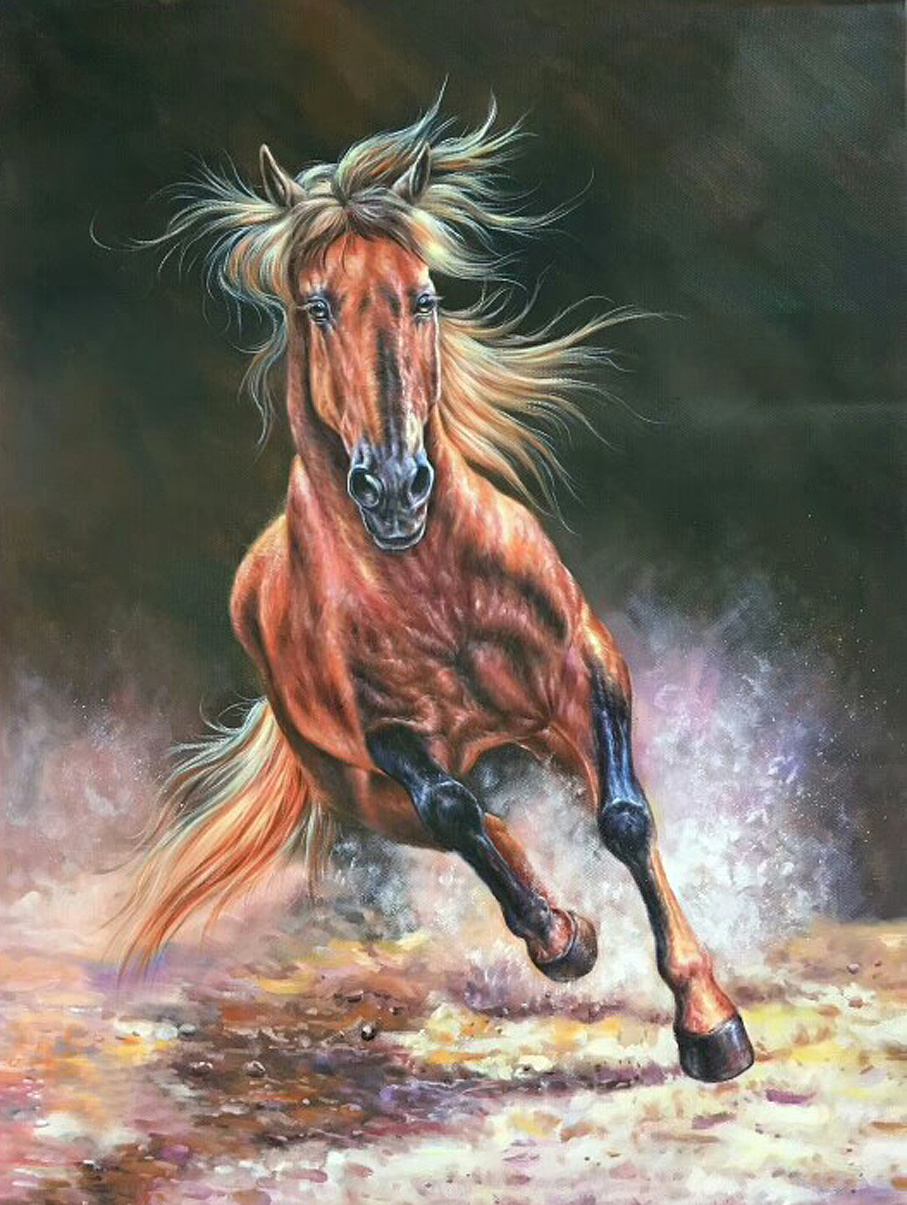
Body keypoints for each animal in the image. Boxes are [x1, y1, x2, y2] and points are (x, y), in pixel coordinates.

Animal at [117, 98, 754, 1083]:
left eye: (423, 298)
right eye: (316, 305)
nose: (391, 488)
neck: (433, 587)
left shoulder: (586, 664)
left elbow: (623, 818)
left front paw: (707, 1018)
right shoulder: (389, 740)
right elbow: (456, 808)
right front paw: (562, 939)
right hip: (359, 788)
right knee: (471, 820)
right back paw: (558, 929)